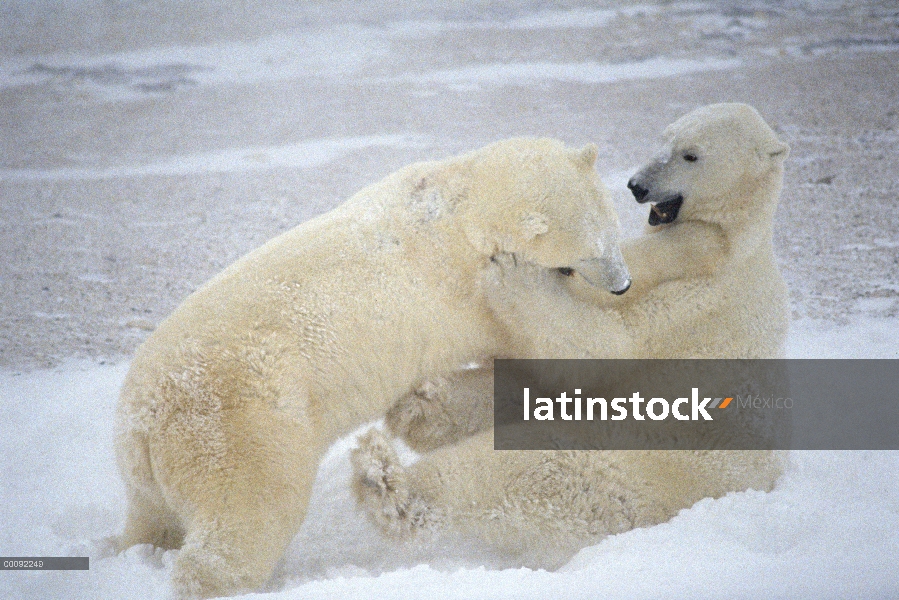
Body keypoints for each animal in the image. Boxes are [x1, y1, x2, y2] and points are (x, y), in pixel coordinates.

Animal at [112, 138, 632, 596]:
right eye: (592, 250)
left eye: (613, 231)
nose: (623, 285)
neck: (459, 207)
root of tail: (143, 420)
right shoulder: (463, 296)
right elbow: (545, 345)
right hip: (235, 426)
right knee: (247, 516)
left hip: (148, 464)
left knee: (152, 516)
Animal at [356, 103, 792, 568]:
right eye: (664, 138)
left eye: (691, 155)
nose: (637, 186)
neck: (731, 240)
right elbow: (535, 380)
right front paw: (420, 403)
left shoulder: (700, 298)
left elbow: (600, 350)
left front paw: (512, 272)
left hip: (636, 463)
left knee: (523, 465)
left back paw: (388, 486)